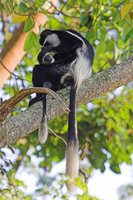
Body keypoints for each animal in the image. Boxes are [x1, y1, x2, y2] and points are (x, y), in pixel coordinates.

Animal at [29, 29, 94, 192]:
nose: (45, 46)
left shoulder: (63, 33)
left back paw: (38, 97)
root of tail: (78, 77)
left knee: (39, 68)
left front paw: (47, 50)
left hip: (62, 69)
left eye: (46, 41)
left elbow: (76, 43)